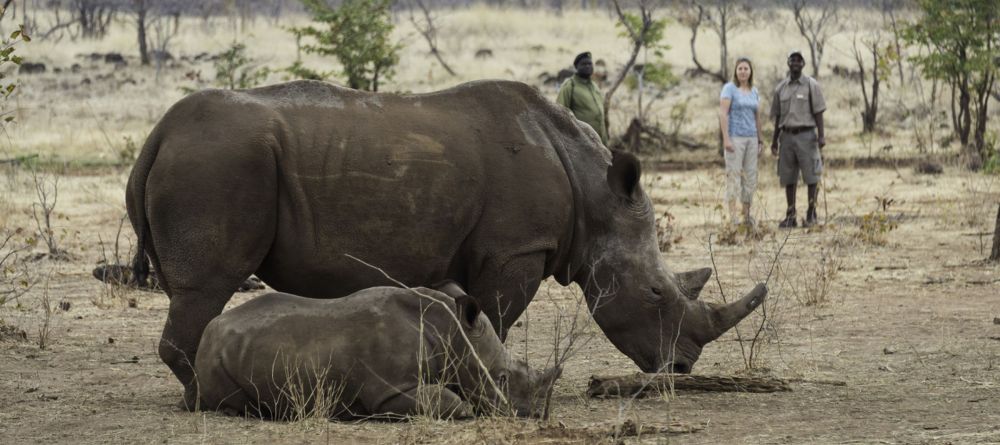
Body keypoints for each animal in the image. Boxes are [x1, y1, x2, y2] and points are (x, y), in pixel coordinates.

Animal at [194, 282, 560, 419]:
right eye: (502, 377)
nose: (533, 414)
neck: (453, 333)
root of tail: (209, 329)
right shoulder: (388, 390)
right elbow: (452, 403)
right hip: (213, 357)